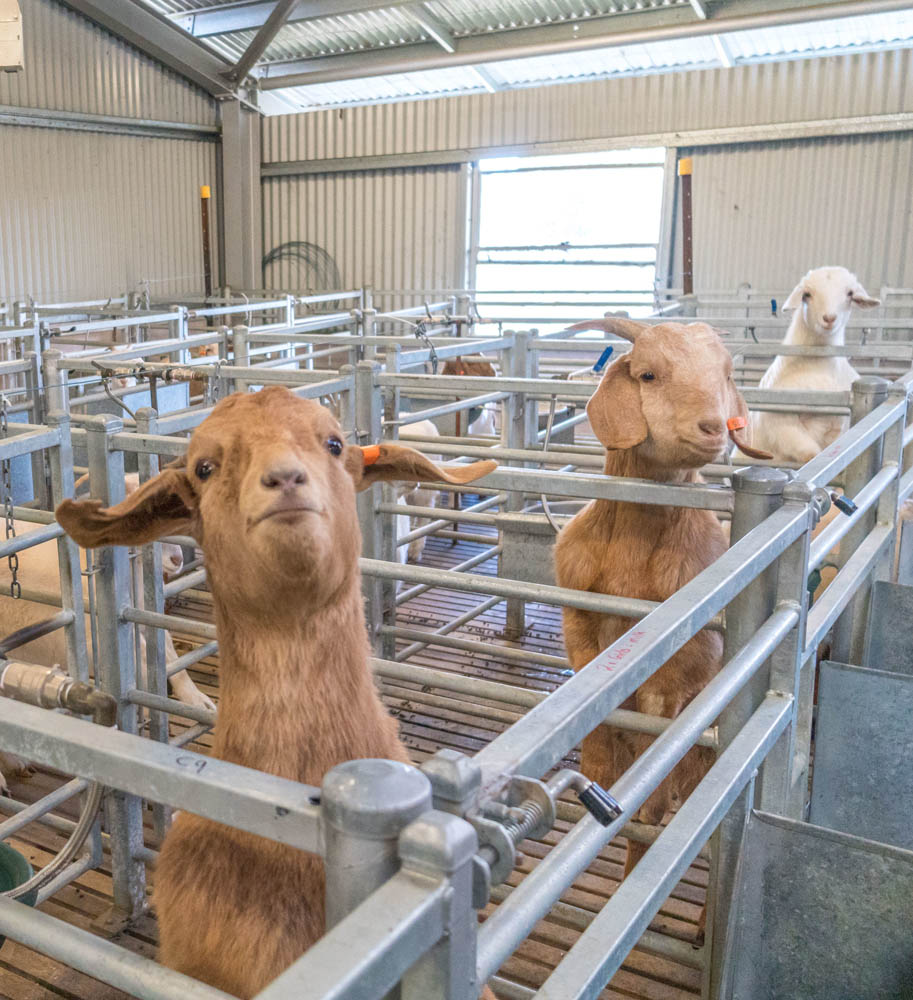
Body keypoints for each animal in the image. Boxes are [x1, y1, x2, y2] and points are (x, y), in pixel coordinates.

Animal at [554, 318, 764, 914]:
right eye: (648, 374)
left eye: (725, 374)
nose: (714, 426)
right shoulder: (577, 621)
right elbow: (593, 714)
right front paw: (595, 775)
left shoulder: (684, 669)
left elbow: (656, 738)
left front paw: (643, 805)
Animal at [748, 266, 880, 465]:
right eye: (807, 294)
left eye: (849, 293)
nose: (829, 318)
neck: (817, 366)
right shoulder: (781, 422)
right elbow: (809, 453)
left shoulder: (837, 425)